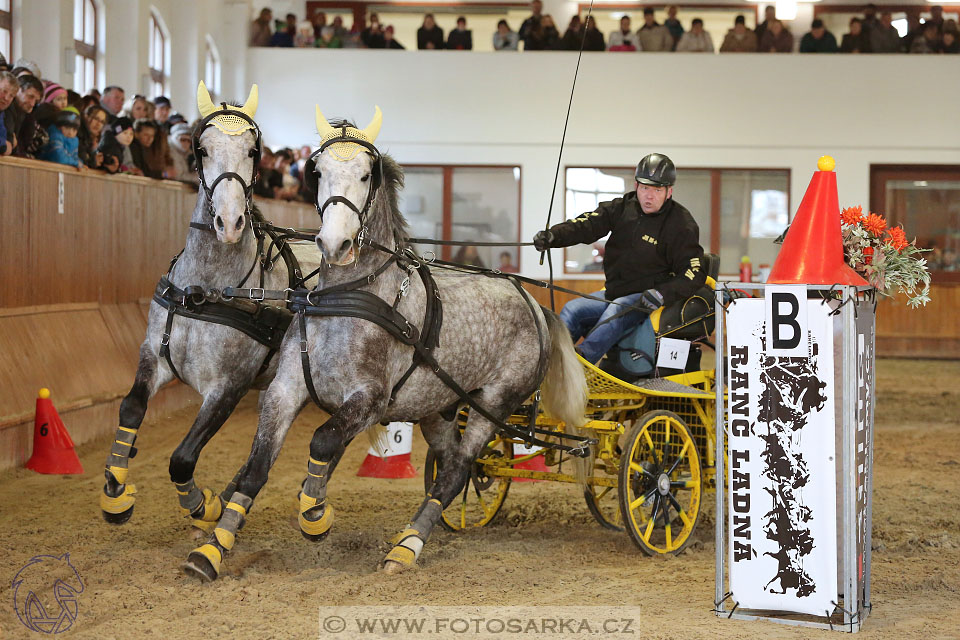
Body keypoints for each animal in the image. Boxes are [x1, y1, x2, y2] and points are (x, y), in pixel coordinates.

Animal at [98, 85, 322, 532]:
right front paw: (116, 492)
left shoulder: (228, 386)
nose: (230, 222)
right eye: (201, 149)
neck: (205, 290)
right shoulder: (154, 356)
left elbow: (182, 458)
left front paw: (203, 506)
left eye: (253, 150)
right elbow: (130, 408)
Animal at [180, 109, 584, 580]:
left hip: (495, 402)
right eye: (318, 171)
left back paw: (406, 547)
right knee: (452, 465)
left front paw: (315, 515)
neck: (347, 297)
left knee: (458, 468)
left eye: (365, 174)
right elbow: (257, 467)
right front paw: (212, 550)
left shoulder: (371, 399)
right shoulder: (285, 390)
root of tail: (534, 303)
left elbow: (322, 442)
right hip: (439, 406)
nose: (334, 244)